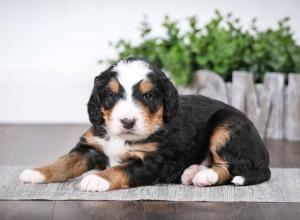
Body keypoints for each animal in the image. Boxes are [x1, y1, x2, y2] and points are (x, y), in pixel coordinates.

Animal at [19, 57, 270, 192]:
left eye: (148, 96)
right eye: (112, 95)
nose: (128, 121)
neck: (120, 138)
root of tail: (264, 154)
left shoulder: (151, 161)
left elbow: (120, 169)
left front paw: (97, 179)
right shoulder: (91, 147)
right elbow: (64, 162)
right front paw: (37, 172)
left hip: (227, 125)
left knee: (232, 166)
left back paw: (204, 176)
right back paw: (192, 172)